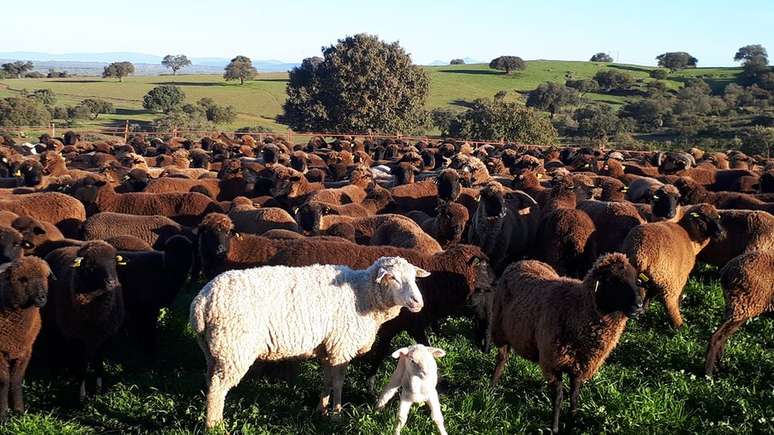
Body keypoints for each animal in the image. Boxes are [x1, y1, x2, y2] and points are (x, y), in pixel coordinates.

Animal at [42, 242, 126, 402]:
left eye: (113, 262)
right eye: (91, 266)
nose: (111, 282)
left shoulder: (103, 337)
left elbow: (99, 365)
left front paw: (98, 391)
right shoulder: (77, 338)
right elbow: (82, 368)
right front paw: (81, 396)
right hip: (51, 321)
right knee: (53, 342)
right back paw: (55, 371)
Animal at [188, 255, 430, 430]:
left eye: (414, 278)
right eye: (393, 278)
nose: (418, 302)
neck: (362, 294)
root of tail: (201, 302)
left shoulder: (329, 347)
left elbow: (326, 381)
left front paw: (320, 410)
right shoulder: (341, 346)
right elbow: (338, 382)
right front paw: (336, 414)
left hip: (214, 349)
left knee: (211, 384)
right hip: (234, 348)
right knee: (218, 389)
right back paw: (215, 426)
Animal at [492, 254, 648, 434]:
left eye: (636, 280)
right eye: (611, 280)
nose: (639, 306)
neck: (576, 307)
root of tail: (523, 261)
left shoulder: (581, 363)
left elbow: (574, 395)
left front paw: (573, 420)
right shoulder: (553, 362)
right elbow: (558, 397)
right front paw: (554, 427)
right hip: (499, 328)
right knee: (501, 359)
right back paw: (492, 388)